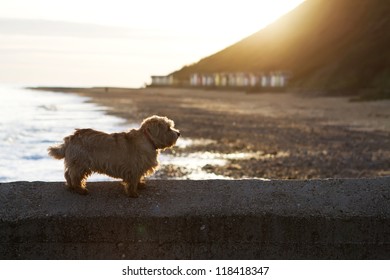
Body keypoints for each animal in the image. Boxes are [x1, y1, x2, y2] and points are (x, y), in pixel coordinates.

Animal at [47, 115, 180, 198]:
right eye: (168, 128)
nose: (178, 133)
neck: (148, 139)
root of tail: (70, 138)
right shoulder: (134, 168)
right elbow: (132, 182)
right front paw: (133, 193)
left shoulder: (138, 169)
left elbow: (138, 178)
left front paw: (140, 184)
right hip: (80, 164)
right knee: (74, 176)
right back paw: (80, 189)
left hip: (77, 163)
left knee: (68, 174)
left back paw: (71, 187)